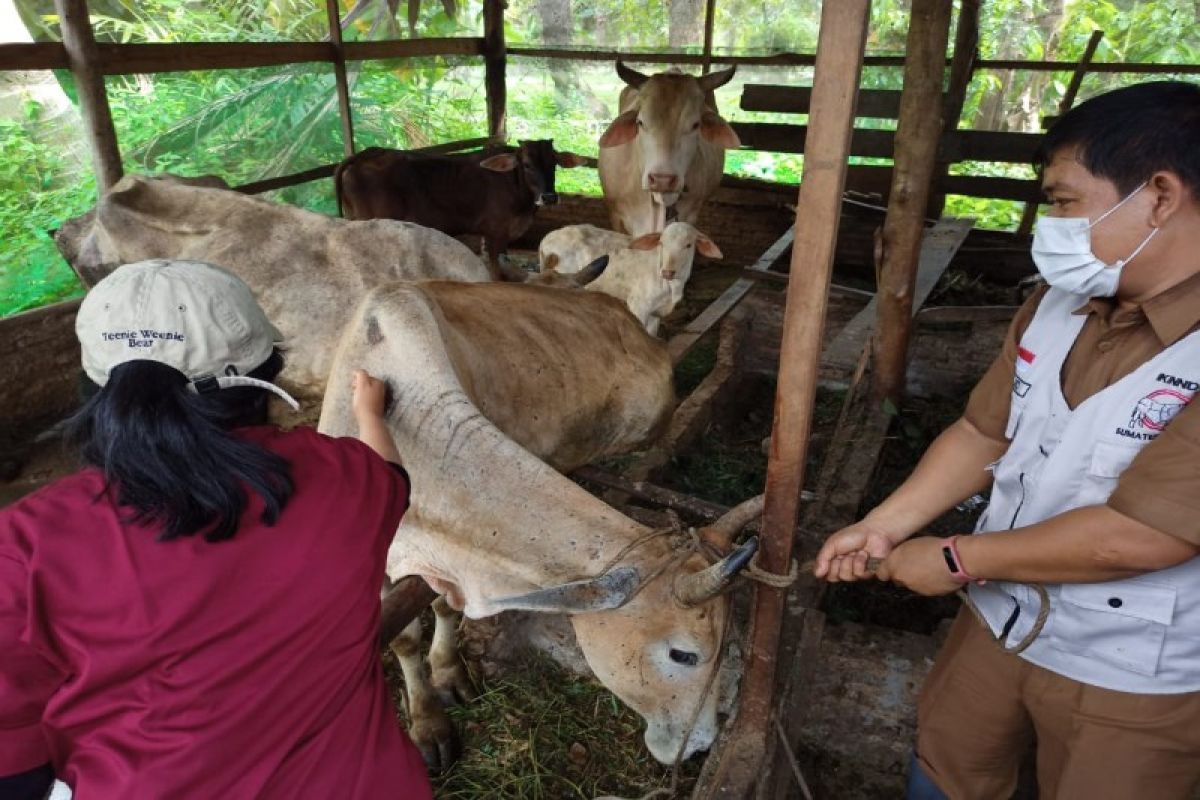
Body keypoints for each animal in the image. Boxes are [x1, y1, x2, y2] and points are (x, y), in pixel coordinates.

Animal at [316, 280, 758, 767]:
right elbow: (405, 639)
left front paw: (449, 674)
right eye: (683, 654)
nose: (700, 745)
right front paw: (429, 724)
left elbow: (443, 607)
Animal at [336, 140, 588, 281]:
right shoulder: (497, 232)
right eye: (526, 164)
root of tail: (366, 154)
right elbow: (498, 274)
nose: (549, 196)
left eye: (554, 163)